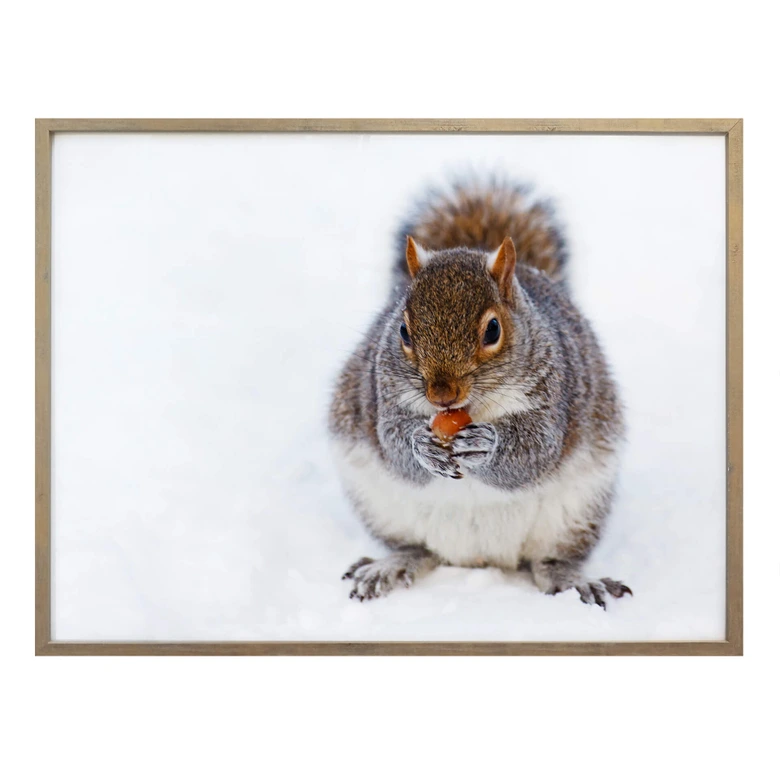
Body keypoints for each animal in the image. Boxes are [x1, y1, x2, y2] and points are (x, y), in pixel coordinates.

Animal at [329, 178, 631, 609]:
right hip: (381, 506)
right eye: (403, 331)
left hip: (576, 513)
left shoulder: (556, 394)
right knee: (417, 549)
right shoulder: (381, 393)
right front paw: (421, 445)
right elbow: (393, 443)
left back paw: (574, 581)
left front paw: (486, 446)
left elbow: (536, 451)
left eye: (492, 330)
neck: (471, 408)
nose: (441, 395)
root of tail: (479, 557)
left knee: (550, 561)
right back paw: (390, 566)